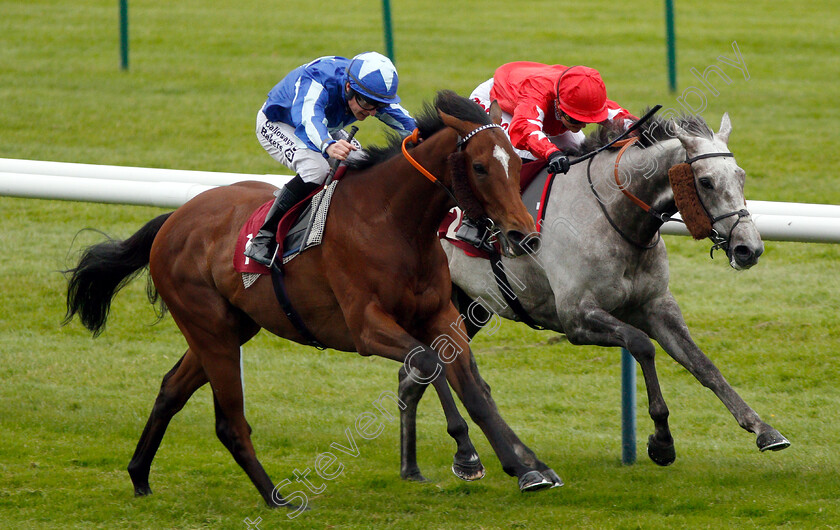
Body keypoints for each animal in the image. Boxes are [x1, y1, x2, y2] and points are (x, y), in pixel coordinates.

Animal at [398, 111, 792, 482]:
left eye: (741, 176)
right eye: (706, 181)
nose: (749, 249)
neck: (613, 214)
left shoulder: (657, 306)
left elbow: (703, 365)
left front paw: (763, 429)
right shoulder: (576, 318)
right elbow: (641, 345)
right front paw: (662, 441)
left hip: (469, 307)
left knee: (413, 375)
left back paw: (423, 464)